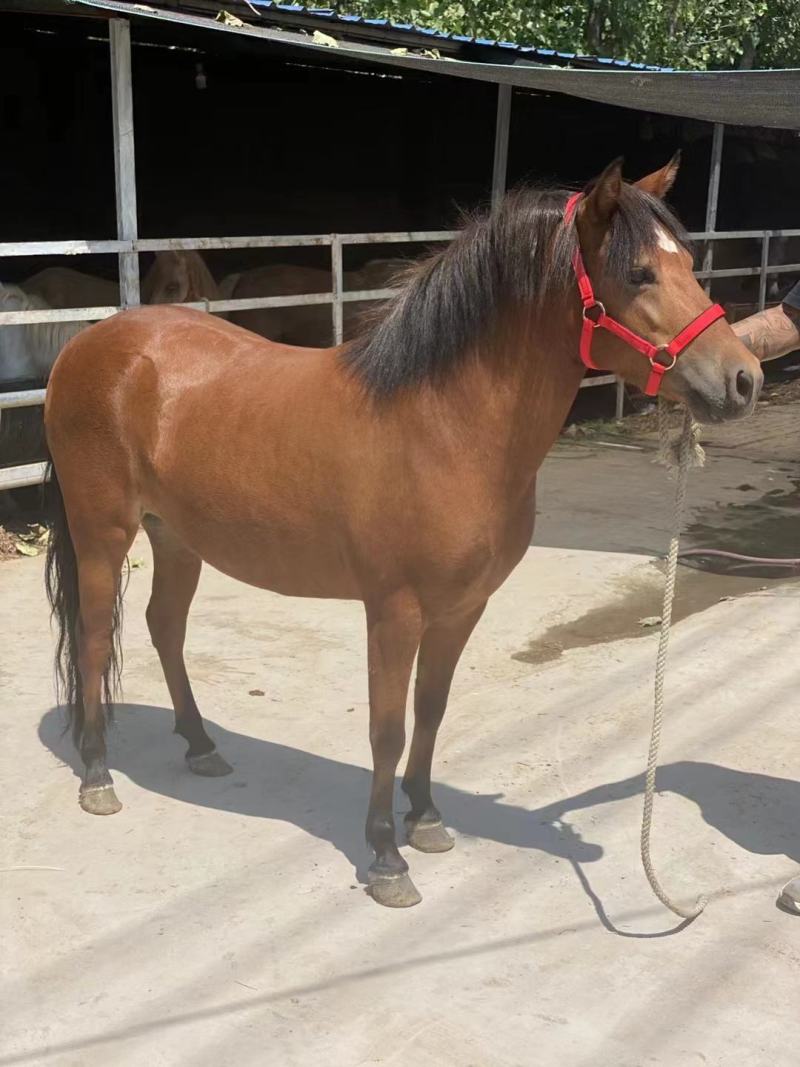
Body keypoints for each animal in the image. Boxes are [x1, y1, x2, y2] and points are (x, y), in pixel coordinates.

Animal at [43, 157, 762, 908]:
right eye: (641, 274)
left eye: (689, 264)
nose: (744, 379)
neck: (444, 425)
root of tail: (91, 344)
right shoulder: (395, 610)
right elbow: (386, 729)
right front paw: (387, 855)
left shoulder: (462, 607)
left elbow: (432, 709)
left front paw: (427, 817)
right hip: (104, 533)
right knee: (94, 638)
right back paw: (96, 774)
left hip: (177, 536)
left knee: (165, 627)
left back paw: (201, 745)